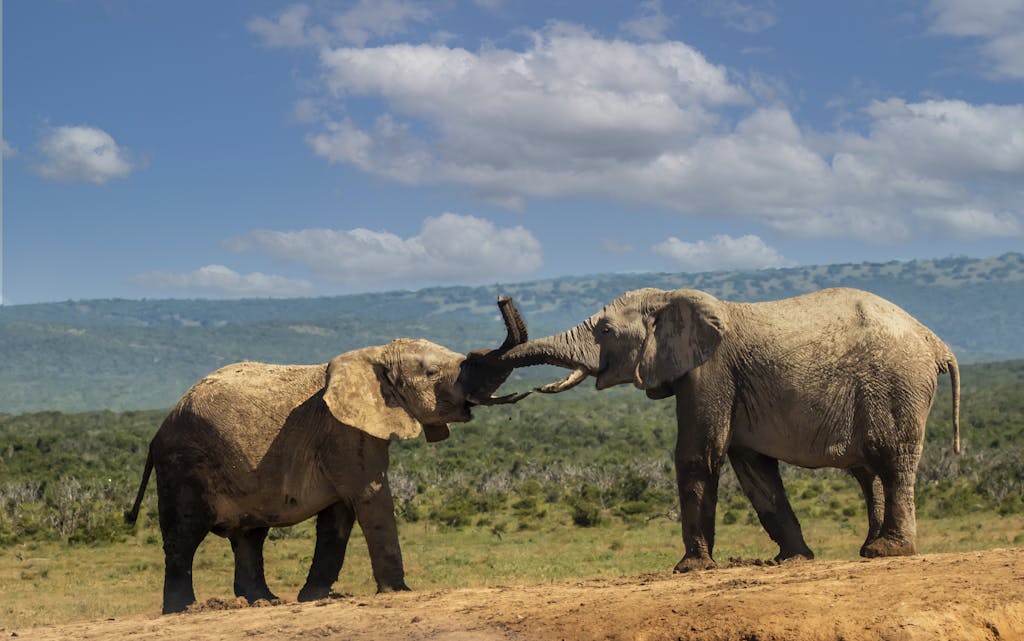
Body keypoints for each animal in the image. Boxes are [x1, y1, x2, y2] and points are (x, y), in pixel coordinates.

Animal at [126, 296, 528, 610]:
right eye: (431, 372)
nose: (503, 298)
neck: (373, 355)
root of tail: (160, 429)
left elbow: (339, 515)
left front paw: (313, 598)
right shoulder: (344, 433)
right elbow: (370, 497)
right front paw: (399, 592)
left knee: (249, 536)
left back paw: (264, 601)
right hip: (184, 463)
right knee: (184, 536)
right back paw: (184, 610)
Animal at [479, 284, 958, 569]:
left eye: (606, 331)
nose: (502, 298)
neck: (670, 298)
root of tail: (936, 341)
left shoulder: (710, 372)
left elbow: (699, 454)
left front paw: (689, 569)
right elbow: (753, 468)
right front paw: (792, 560)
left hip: (896, 384)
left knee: (893, 463)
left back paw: (888, 552)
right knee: (868, 473)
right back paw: (868, 551)